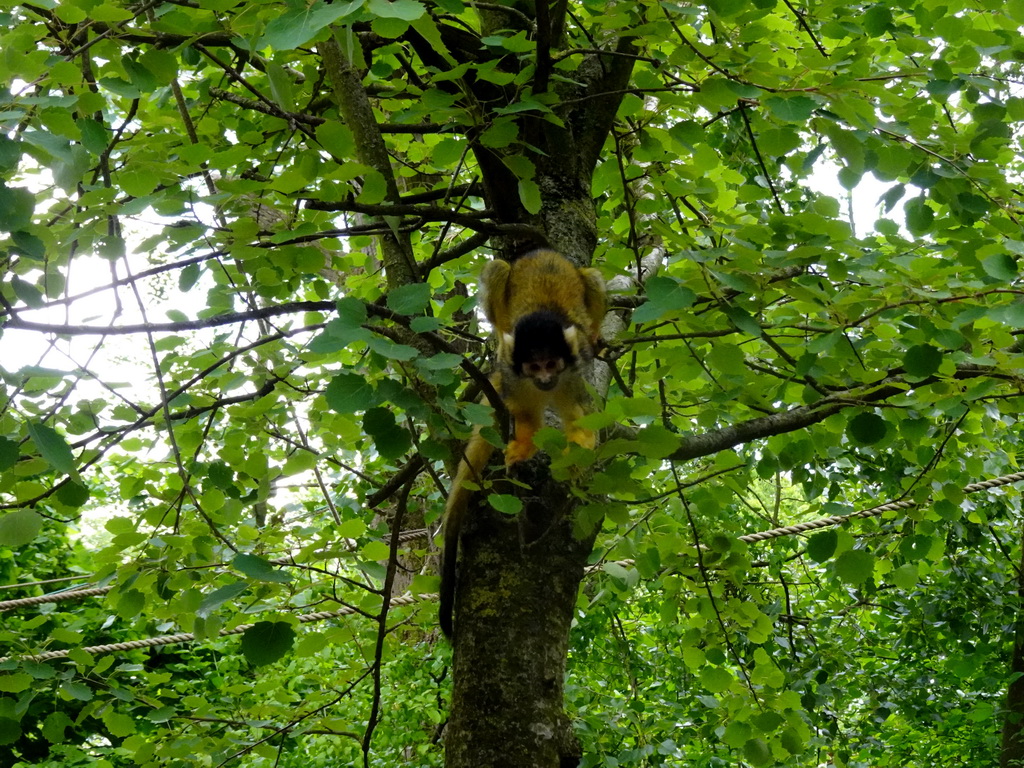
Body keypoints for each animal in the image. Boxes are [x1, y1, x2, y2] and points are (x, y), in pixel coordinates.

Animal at [440, 250, 606, 638]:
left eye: (552, 364)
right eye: (534, 366)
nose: (545, 380)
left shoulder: (573, 369)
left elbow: (580, 418)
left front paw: (574, 458)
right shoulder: (516, 375)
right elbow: (525, 414)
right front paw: (521, 449)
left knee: (592, 278)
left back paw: (596, 331)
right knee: (497, 269)